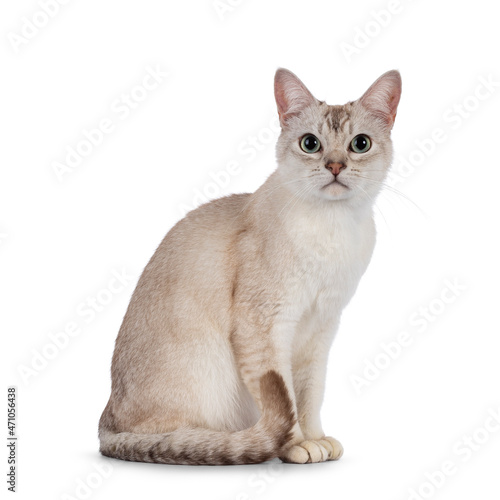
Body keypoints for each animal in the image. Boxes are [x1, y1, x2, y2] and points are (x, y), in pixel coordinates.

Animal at [97, 66, 402, 464]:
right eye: (310, 144)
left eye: (360, 144)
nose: (335, 166)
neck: (333, 231)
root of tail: (105, 419)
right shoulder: (265, 327)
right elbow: (287, 400)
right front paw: (298, 445)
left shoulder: (321, 328)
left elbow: (310, 395)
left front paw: (318, 439)